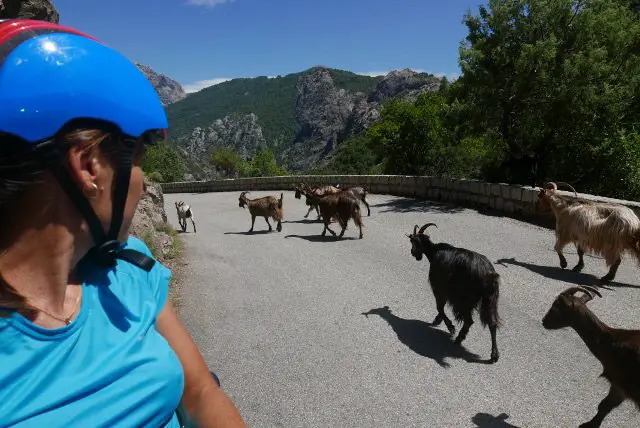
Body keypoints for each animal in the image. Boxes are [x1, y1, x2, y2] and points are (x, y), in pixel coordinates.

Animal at [408, 222, 502, 362]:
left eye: (414, 242)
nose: (413, 253)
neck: (434, 251)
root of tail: (487, 273)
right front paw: (438, 320)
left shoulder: (439, 287)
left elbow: (439, 307)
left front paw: (450, 327)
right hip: (490, 299)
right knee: (492, 323)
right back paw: (494, 355)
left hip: (464, 298)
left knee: (469, 320)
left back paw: (459, 338)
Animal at [540, 284, 640, 428]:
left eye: (555, 306)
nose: (544, 321)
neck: (611, 342)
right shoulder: (620, 386)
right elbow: (605, 406)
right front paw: (590, 424)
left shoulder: (623, 383)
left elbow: (605, 406)